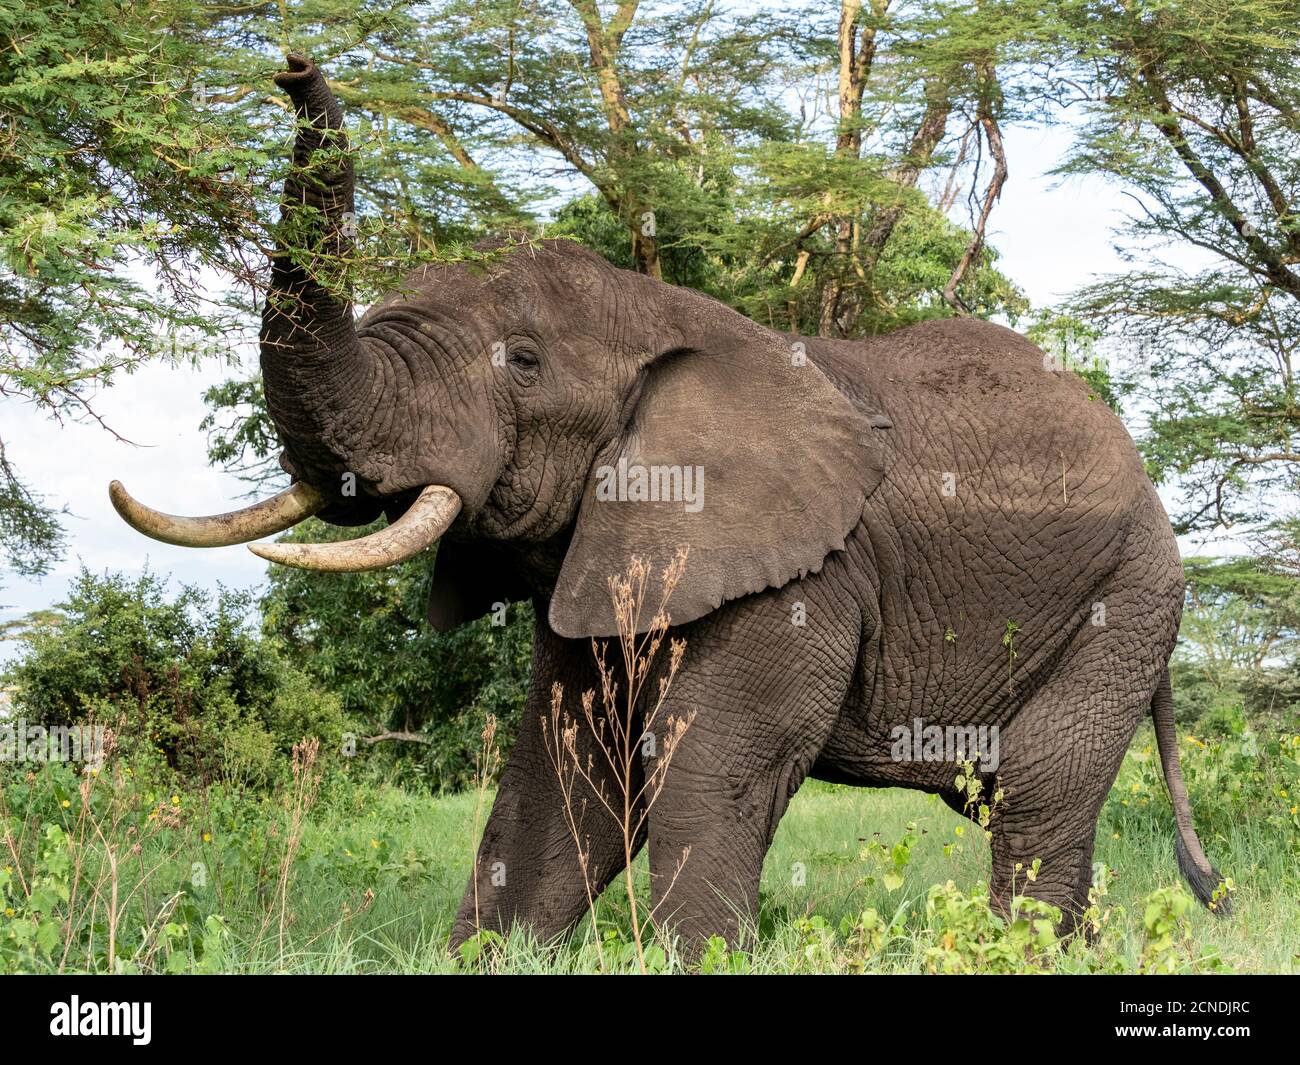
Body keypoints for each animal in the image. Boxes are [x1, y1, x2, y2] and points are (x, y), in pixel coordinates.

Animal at [106, 58, 1222, 951]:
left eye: (521, 362)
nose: (293, 65)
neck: (662, 314)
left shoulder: (795, 574)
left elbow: (709, 773)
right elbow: (565, 776)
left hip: (1130, 596)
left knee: (1037, 797)